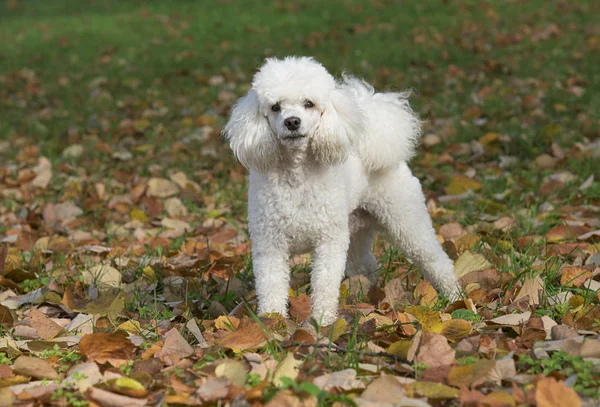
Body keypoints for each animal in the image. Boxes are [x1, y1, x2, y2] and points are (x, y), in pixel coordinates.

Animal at [224, 57, 460, 326]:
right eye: (275, 107)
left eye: (309, 104)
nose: (292, 122)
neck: (297, 175)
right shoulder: (270, 243)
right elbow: (271, 285)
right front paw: (273, 321)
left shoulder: (329, 241)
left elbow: (325, 284)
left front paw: (322, 322)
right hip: (357, 229)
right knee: (365, 263)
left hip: (405, 217)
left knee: (435, 258)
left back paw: (455, 298)